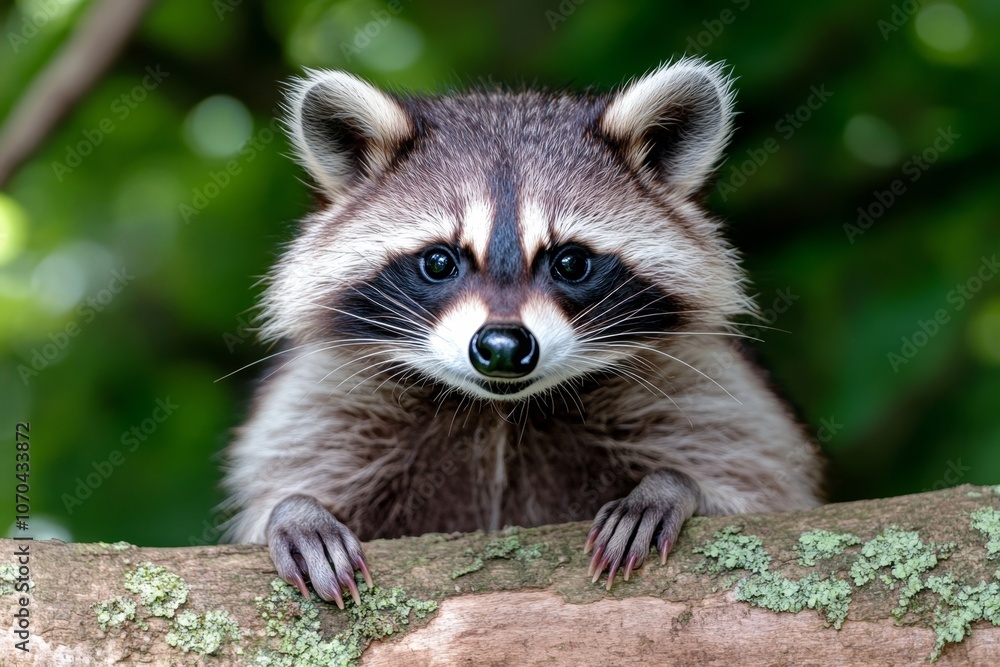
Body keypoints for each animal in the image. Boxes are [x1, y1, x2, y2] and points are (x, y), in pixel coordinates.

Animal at [222, 59, 823, 608]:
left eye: (571, 262)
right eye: (439, 261)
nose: (503, 349)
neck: (500, 414)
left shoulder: (703, 387)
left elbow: (755, 483)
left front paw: (674, 487)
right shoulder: (327, 402)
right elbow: (294, 468)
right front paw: (296, 511)